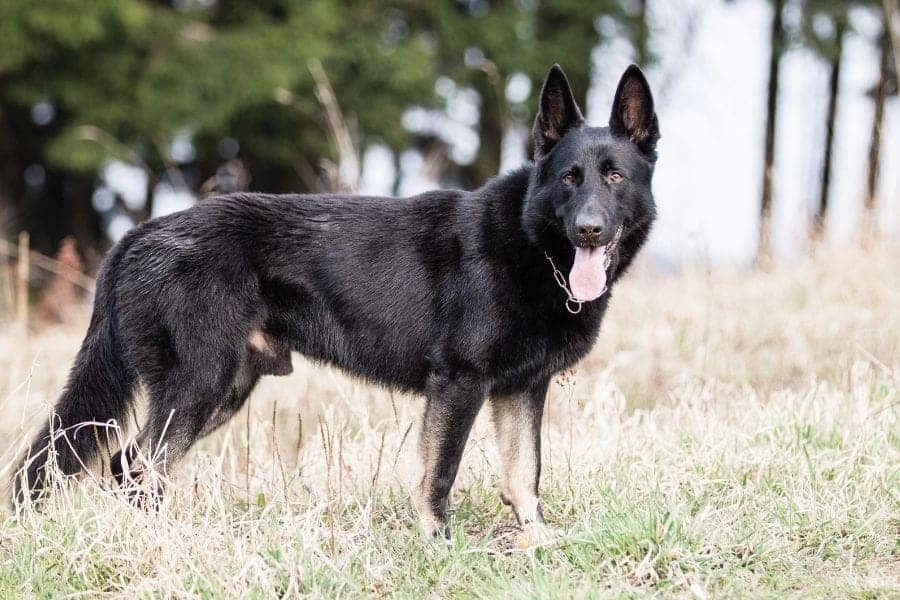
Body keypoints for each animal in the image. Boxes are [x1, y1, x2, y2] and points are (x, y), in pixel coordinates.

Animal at [17, 63, 656, 536]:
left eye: (614, 177)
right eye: (569, 178)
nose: (589, 231)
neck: (531, 243)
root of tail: (136, 235)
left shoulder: (521, 391)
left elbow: (524, 476)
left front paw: (539, 544)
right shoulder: (459, 384)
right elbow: (439, 476)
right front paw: (437, 544)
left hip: (222, 391)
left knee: (131, 465)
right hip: (199, 385)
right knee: (138, 464)